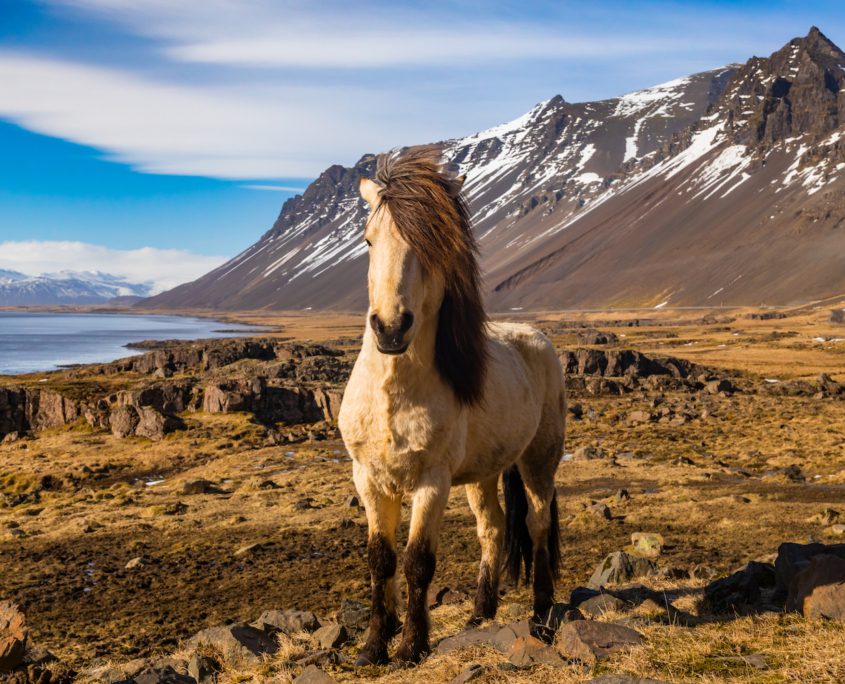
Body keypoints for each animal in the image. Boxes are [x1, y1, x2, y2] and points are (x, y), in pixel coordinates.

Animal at [336, 147, 568, 664]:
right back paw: (481, 611)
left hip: (539, 459)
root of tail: (537, 338)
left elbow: (418, 561)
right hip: (483, 473)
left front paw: (411, 646)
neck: (393, 392)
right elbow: (379, 559)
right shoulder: (369, 478)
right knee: (494, 528)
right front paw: (374, 645)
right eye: (367, 241)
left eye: (432, 246)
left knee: (538, 524)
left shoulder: (432, 481)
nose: (390, 328)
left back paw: (542, 614)